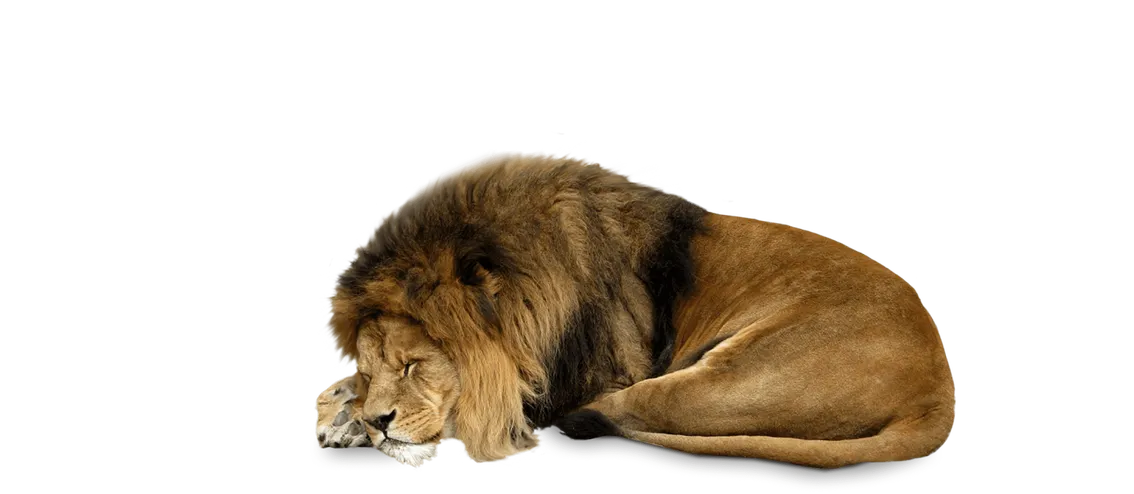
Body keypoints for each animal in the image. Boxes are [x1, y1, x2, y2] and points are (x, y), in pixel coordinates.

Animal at [314, 151, 957, 470]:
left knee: (637, 408)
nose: (379, 422)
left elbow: (490, 404)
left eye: (414, 364)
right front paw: (342, 412)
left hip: (728, 376)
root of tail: (940, 385)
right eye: (371, 368)